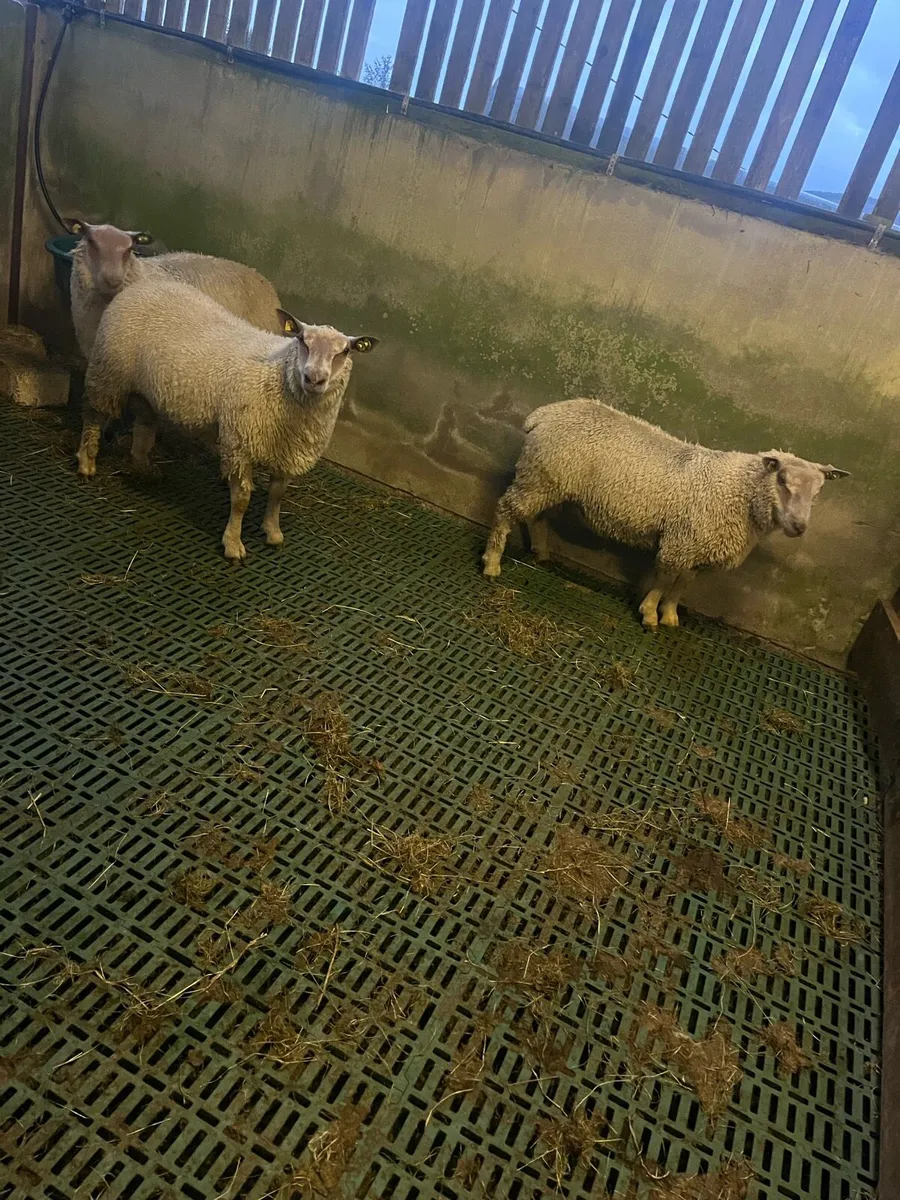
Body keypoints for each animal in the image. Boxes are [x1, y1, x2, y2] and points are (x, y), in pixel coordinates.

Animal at [76, 276, 378, 561]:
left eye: (345, 351)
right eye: (302, 340)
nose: (314, 378)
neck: (277, 375)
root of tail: (142, 285)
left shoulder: (286, 448)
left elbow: (277, 493)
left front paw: (273, 532)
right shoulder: (239, 441)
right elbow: (241, 499)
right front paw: (233, 544)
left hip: (146, 389)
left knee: (144, 423)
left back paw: (144, 468)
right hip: (108, 372)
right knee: (93, 415)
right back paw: (87, 462)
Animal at [481, 398, 849, 629]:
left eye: (818, 492)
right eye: (783, 480)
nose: (799, 526)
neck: (739, 493)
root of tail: (542, 415)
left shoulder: (699, 549)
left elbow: (682, 584)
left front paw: (671, 615)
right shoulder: (680, 541)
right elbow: (663, 578)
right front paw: (649, 614)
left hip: (549, 482)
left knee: (535, 516)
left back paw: (540, 552)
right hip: (540, 476)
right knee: (505, 509)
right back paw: (492, 561)